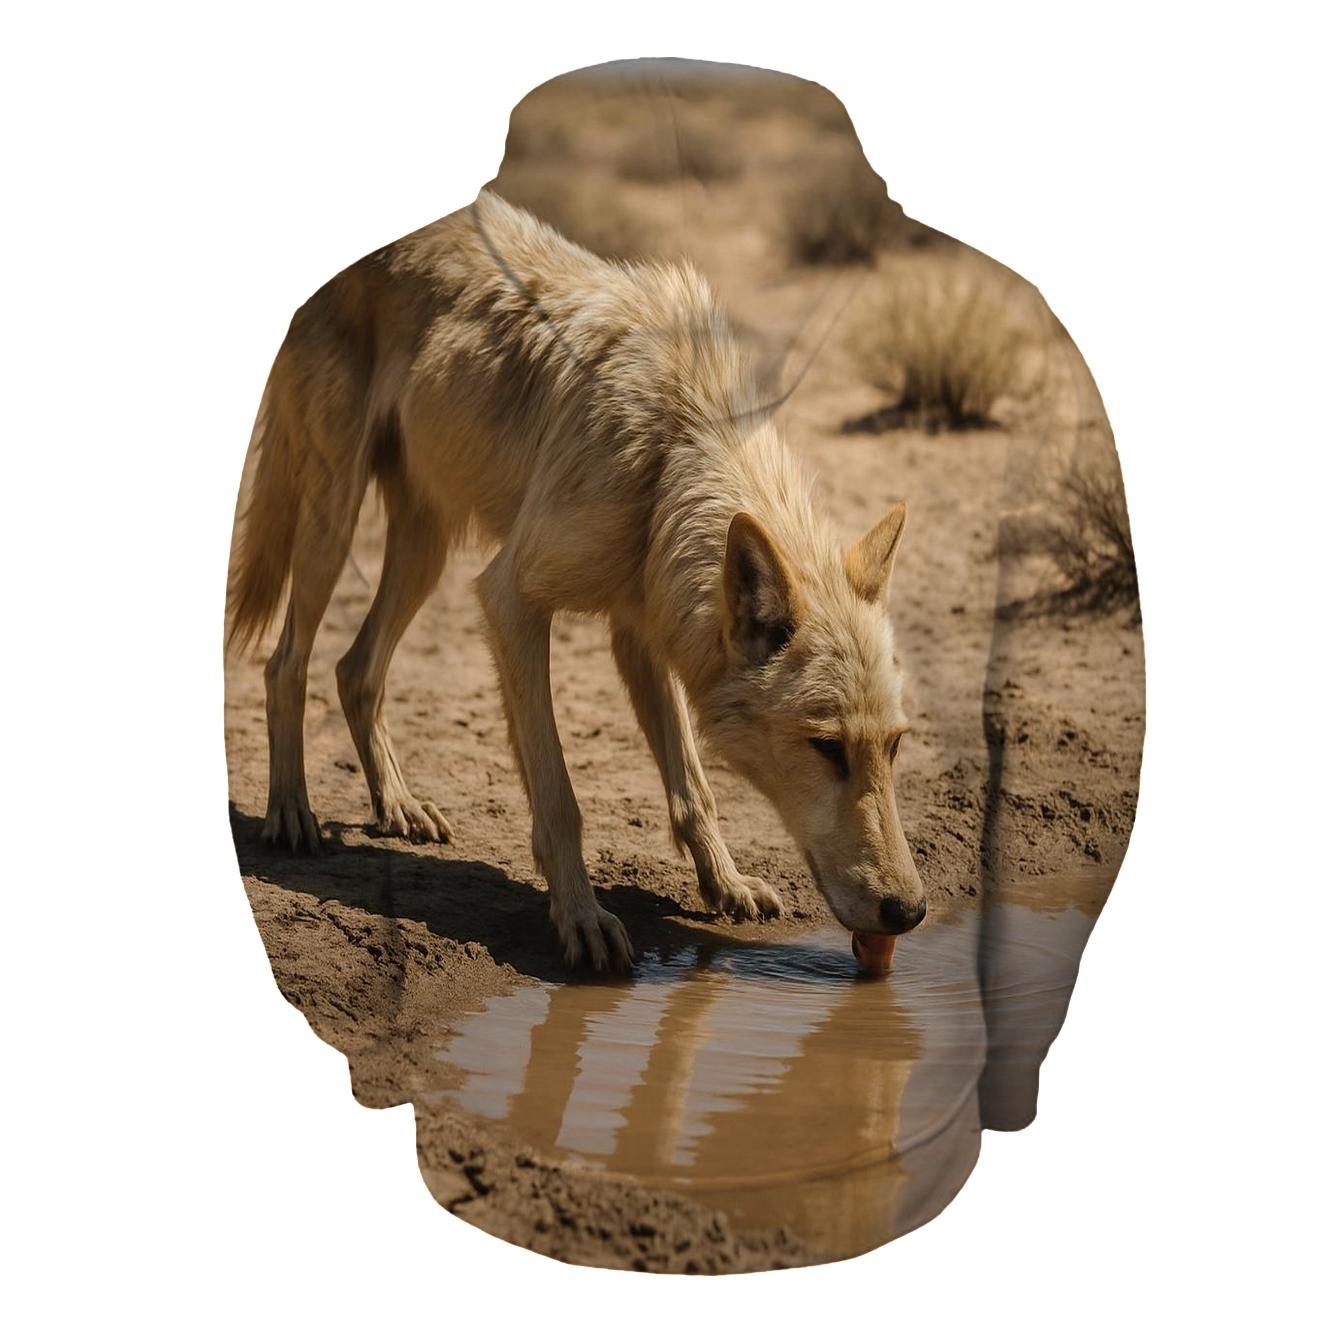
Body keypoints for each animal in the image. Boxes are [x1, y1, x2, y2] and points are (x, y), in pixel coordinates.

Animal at [228, 190, 927, 971]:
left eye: (893, 746)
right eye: (827, 748)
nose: (909, 911)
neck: (672, 450)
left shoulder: (642, 629)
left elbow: (694, 786)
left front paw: (726, 884)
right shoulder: (509, 599)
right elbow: (560, 795)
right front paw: (583, 920)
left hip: (426, 547)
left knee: (355, 669)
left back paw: (398, 807)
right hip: (335, 523)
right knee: (286, 661)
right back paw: (291, 812)